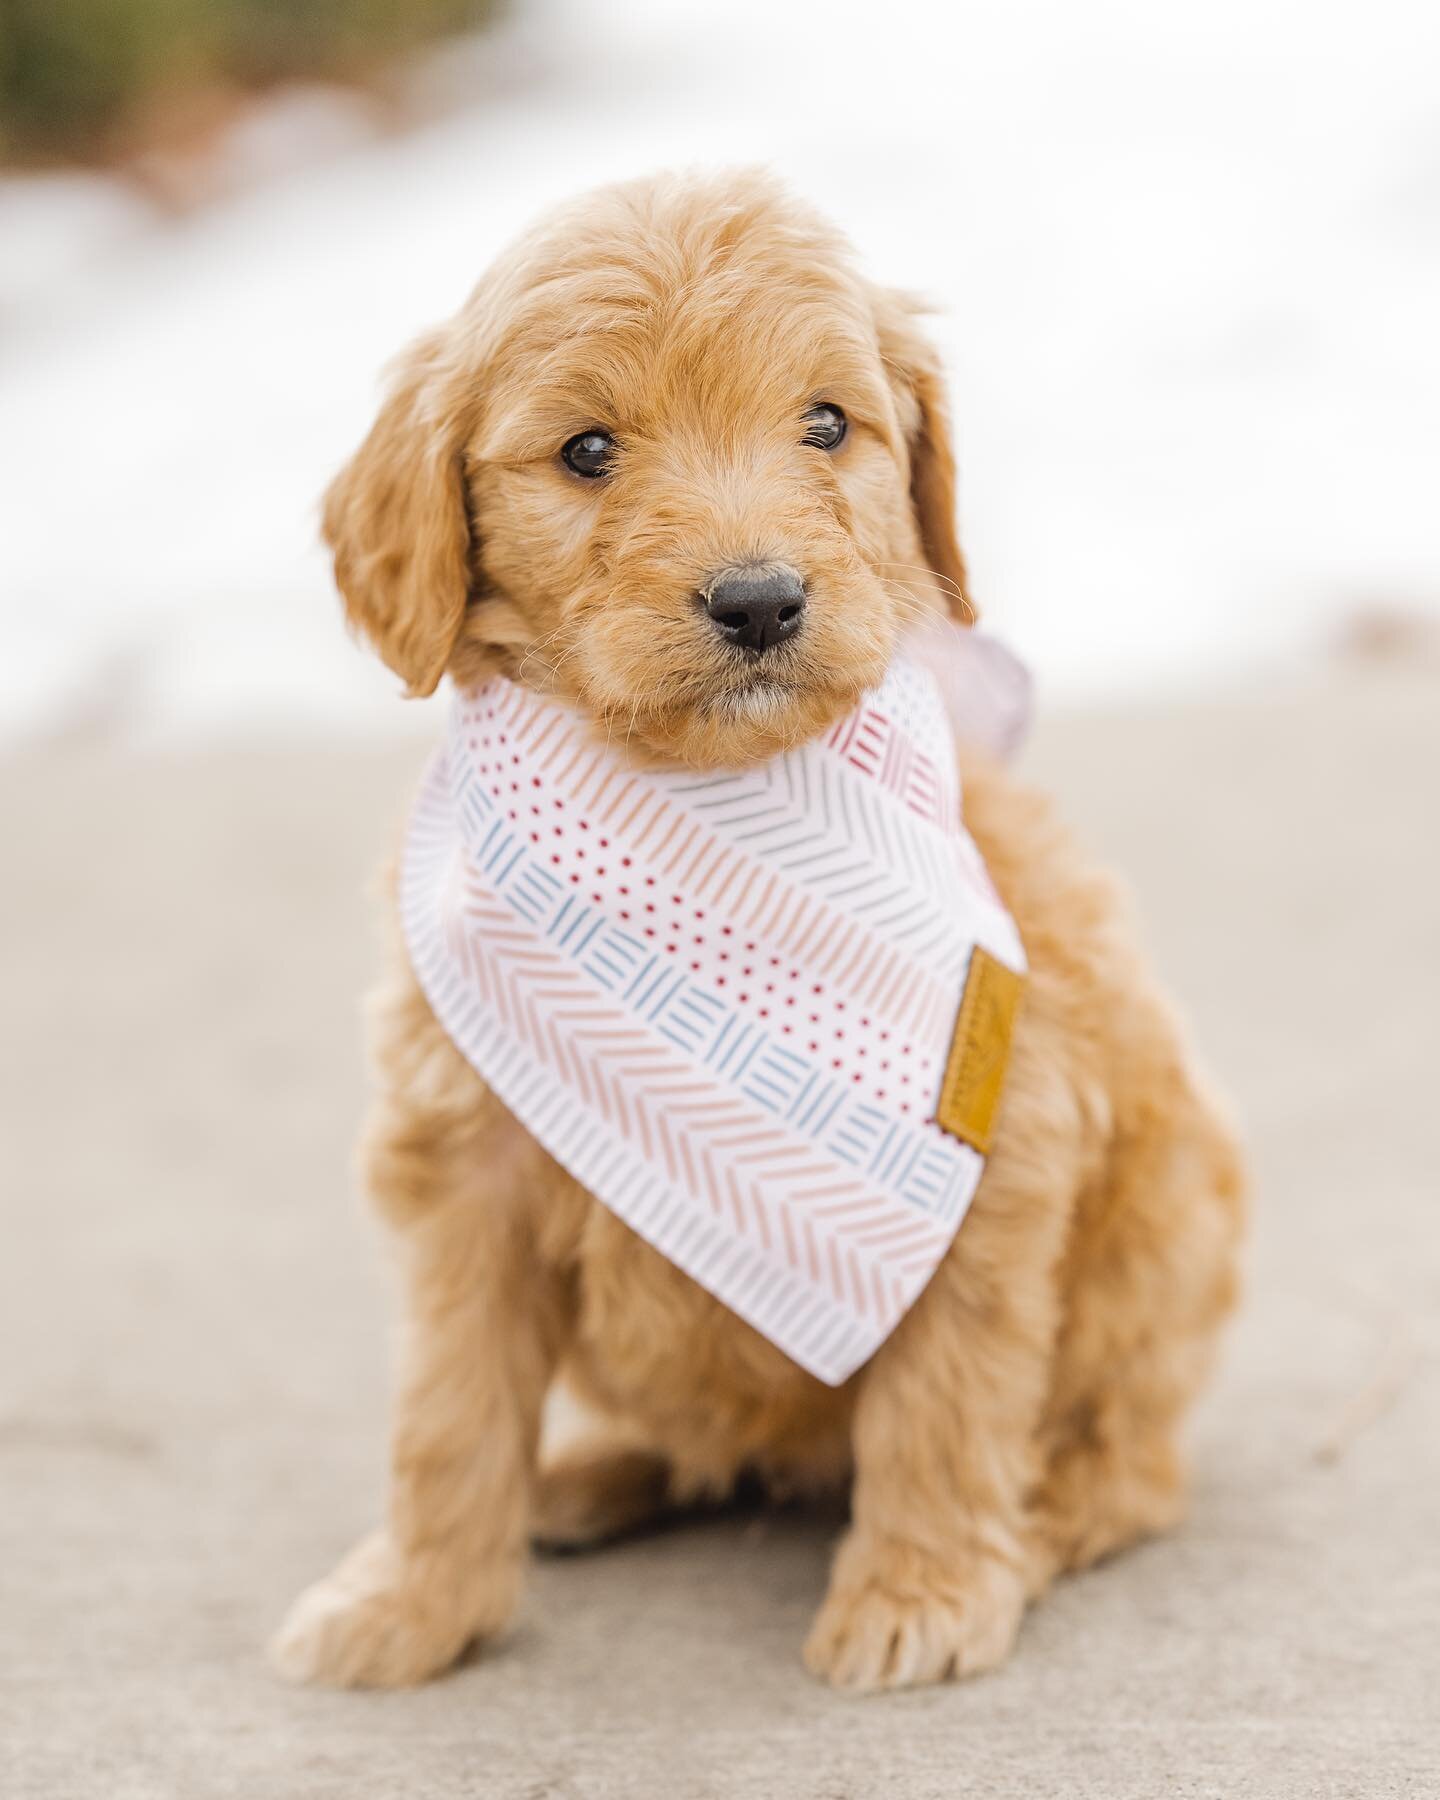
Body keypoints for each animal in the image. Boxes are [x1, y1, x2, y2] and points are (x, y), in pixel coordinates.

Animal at [275, 165, 1245, 1684]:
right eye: (588, 451)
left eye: (828, 423)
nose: (760, 599)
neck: (706, 812)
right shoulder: (464, 1165)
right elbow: (448, 1413)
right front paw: (411, 1605)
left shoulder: (992, 1139)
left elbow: (947, 1391)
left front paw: (920, 1591)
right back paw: (585, 1475)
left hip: (1169, 1217)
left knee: (1134, 1459)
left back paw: (1047, 1519)